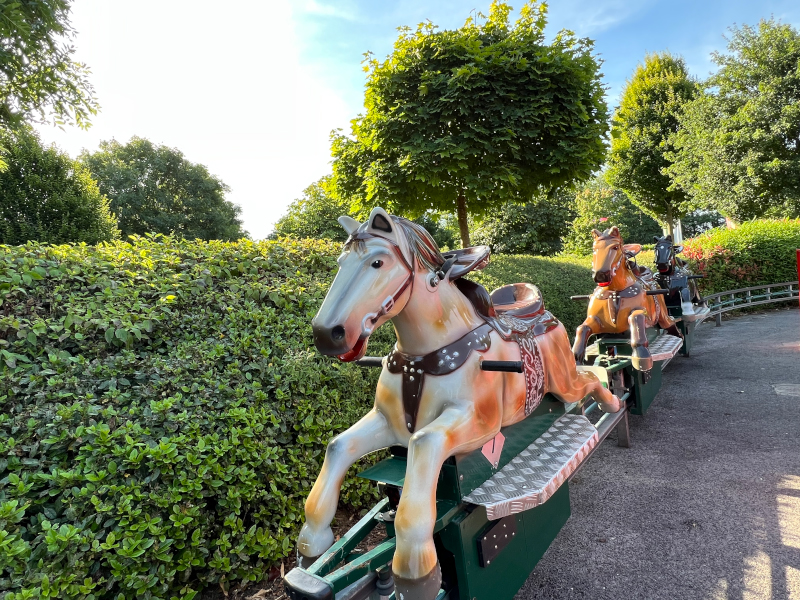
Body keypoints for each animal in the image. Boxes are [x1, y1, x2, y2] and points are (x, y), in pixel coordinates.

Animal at [300, 209, 620, 596]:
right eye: (340, 261)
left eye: (377, 262)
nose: (326, 334)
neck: (420, 362)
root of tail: (542, 310)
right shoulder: (388, 422)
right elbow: (338, 445)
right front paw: (312, 543)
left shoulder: (480, 423)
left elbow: (425, 442)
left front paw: (416, 569)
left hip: (563, 381)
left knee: (587, 378)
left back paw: (612, 403)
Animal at [568, 227, 680, 372]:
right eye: (594, 248)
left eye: (615, 247)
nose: (600, 275)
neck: (615, 293)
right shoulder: (596, 320)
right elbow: (582, 328)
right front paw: (576, 358)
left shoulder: (644, 314)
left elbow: (635, 318)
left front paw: (641, 356)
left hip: (664, 316)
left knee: (671, 326)